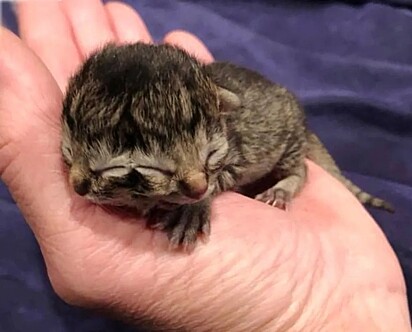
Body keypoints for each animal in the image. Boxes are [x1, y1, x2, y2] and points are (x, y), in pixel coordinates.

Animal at [60, 40, 392, 250]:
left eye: (210, 155)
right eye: (67, 153)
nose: (77, 187)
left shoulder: (232, 157)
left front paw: (191, 209)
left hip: (289, 141)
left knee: (301, 171)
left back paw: (282, 188)